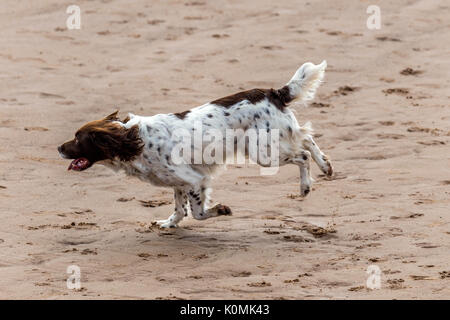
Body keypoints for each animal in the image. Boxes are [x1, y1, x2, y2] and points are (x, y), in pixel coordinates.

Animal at [58, 60, 332, 228]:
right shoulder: (179, 182)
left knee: (303, 154)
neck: (135, 140)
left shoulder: (194, 180)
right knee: (307, 138)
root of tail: (273, 92)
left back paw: (305, 186)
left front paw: (221, 210)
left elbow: (199, 213)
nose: (59, 148)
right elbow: (180, 209)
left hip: (263, 153)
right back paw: (326, 167)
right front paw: (168, 224)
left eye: (78, 139)